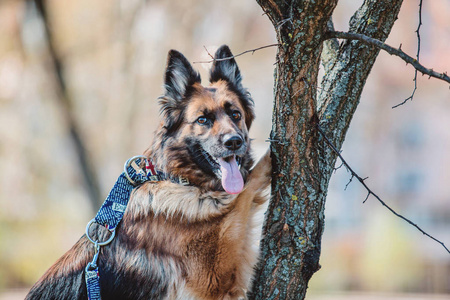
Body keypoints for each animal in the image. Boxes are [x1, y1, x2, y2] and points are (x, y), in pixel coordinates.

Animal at [26, 45, 270, 300]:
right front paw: (272, 153)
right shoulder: (215, 276)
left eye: (236, 115)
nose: (234, 142)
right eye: (203, 120)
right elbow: (247, 187)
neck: (177, 178)